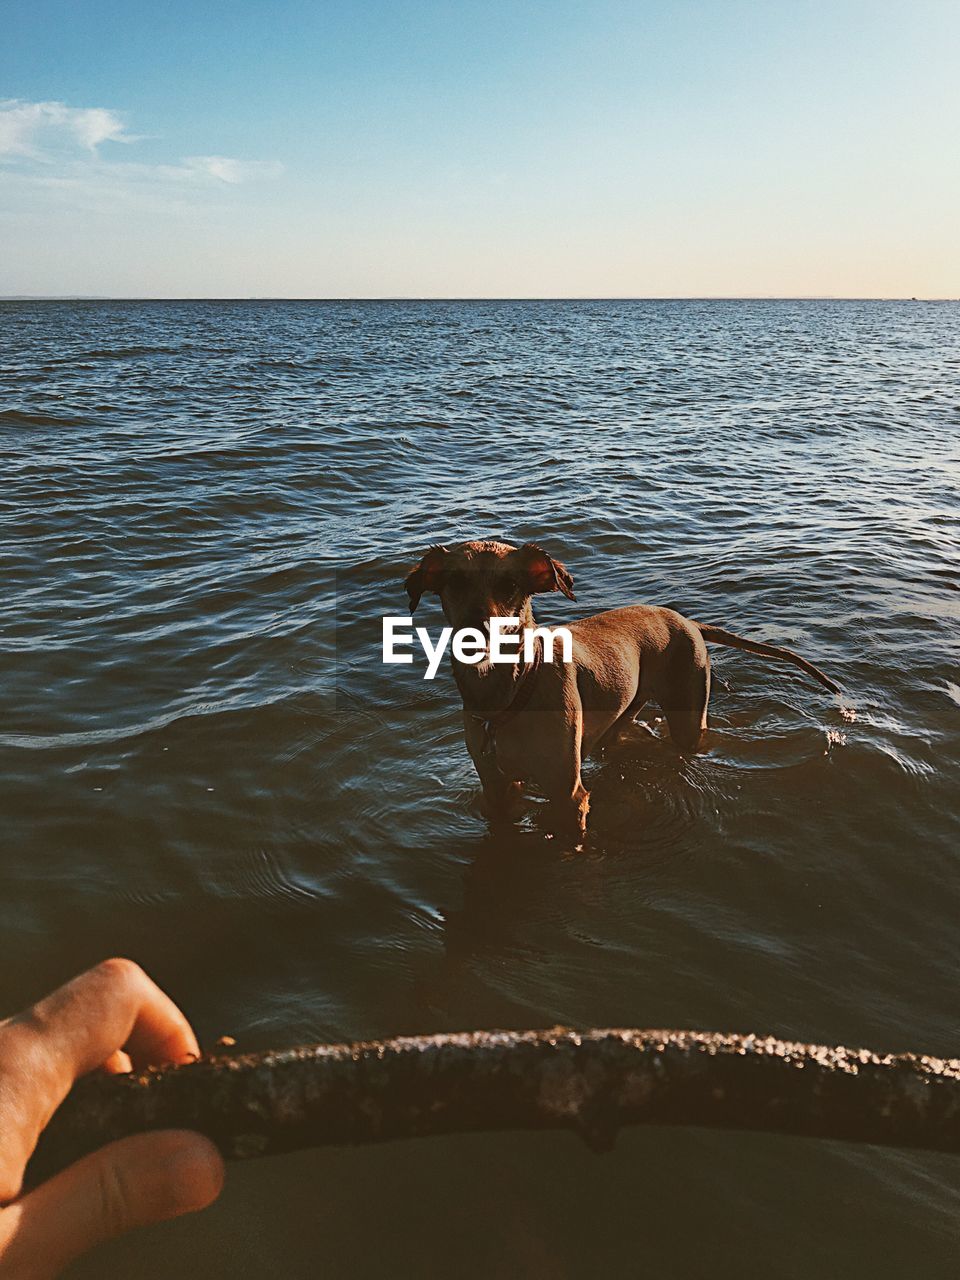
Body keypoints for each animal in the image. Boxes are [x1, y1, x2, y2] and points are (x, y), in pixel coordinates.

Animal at [407, 540, 839, 839]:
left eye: (511, 584)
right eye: (454, 582)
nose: (477, 630)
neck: (508, 693)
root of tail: (689, 621)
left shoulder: (567, 795)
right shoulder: (497, 789)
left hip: (689, 711)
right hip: (622, 713)